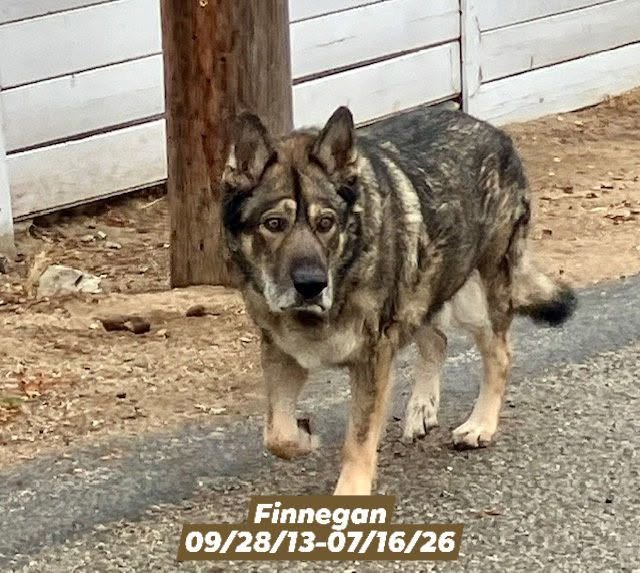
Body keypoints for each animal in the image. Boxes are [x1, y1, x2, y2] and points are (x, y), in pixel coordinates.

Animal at [221, 105, 576, 495]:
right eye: (273, 224)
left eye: (326, 223)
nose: (312, 285)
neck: (344, 273)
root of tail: (495, 133)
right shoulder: (283, 353)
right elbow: (277, 435)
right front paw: (304, 437)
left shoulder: (372, 359)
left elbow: (358, 439)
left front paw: (351, 491)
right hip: (419, 289)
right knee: (437, 340)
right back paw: (422, 408)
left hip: (477, 297)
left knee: (498, 355)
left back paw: (480, 424)